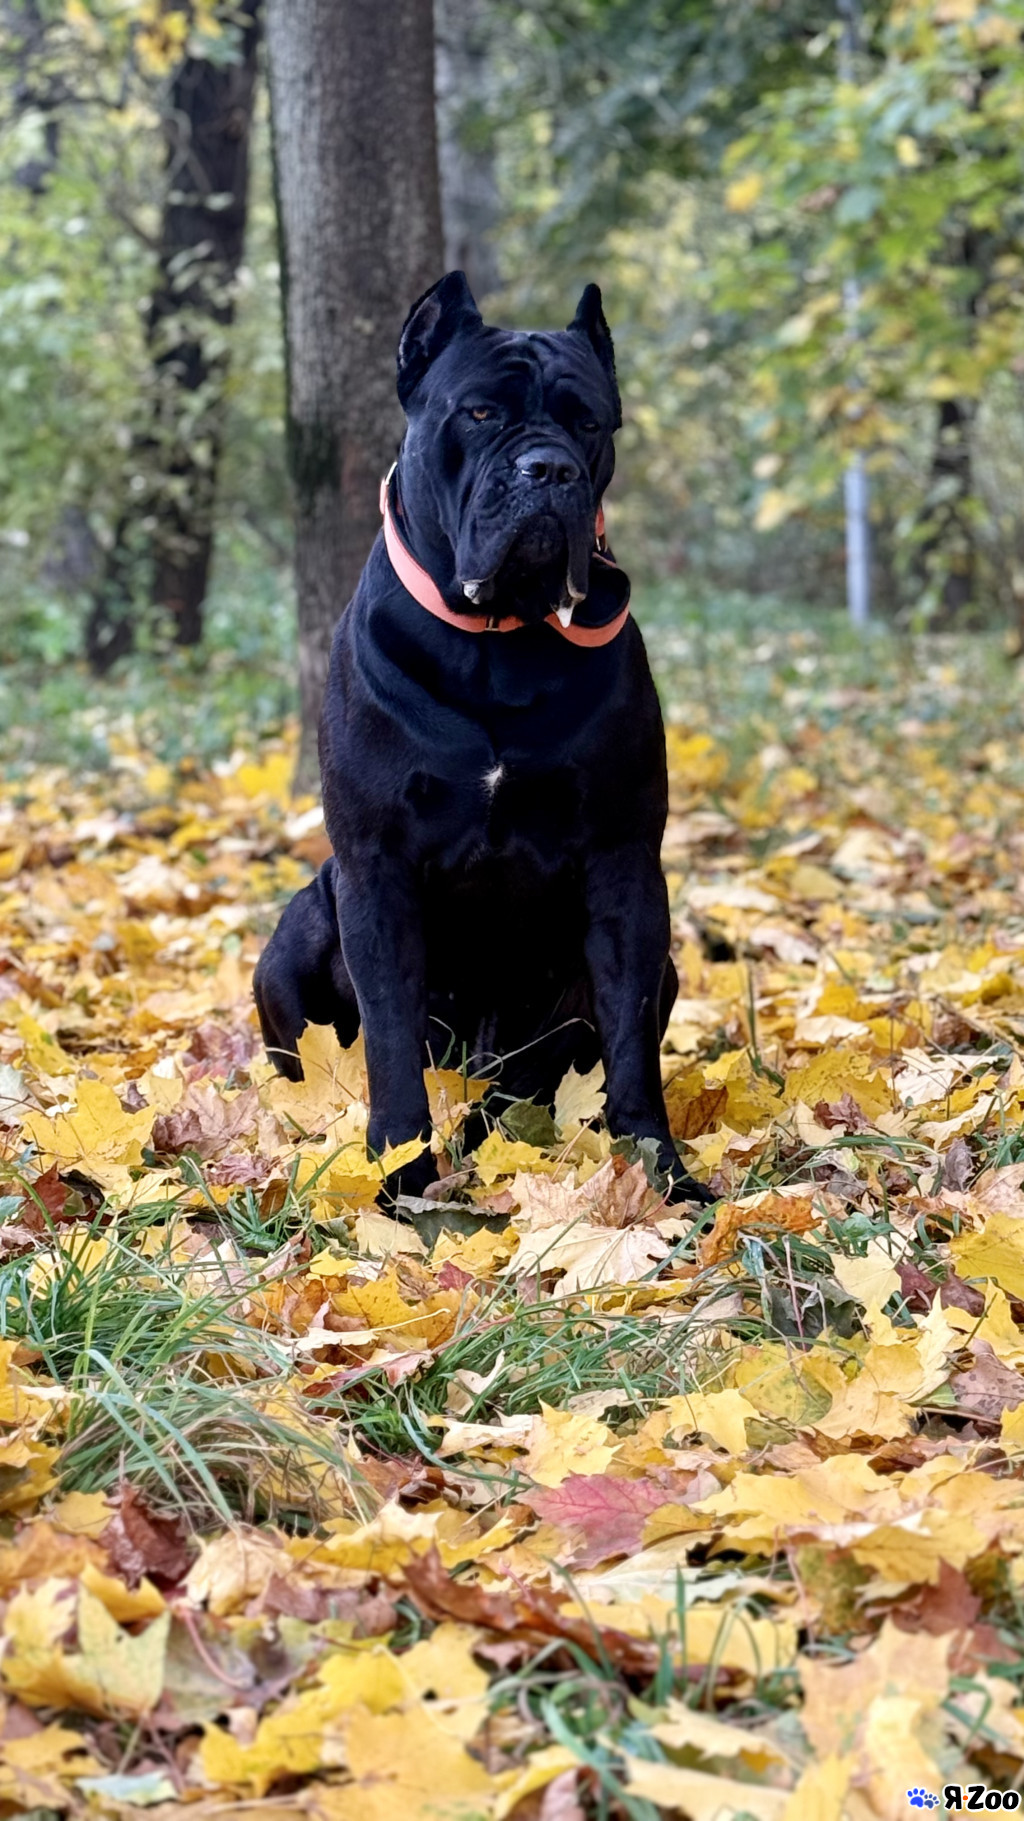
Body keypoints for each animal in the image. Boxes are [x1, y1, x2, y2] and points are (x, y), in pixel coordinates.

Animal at [254, 271, 711, 1207]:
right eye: (479, 413)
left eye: (588, 423)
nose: (550, 469)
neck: (499, 642)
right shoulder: (375, 867)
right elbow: (390, 1044)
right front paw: (400, 1176)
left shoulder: (624, 862)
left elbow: (632, 1048)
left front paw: (662, 1174)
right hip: (296, 936)